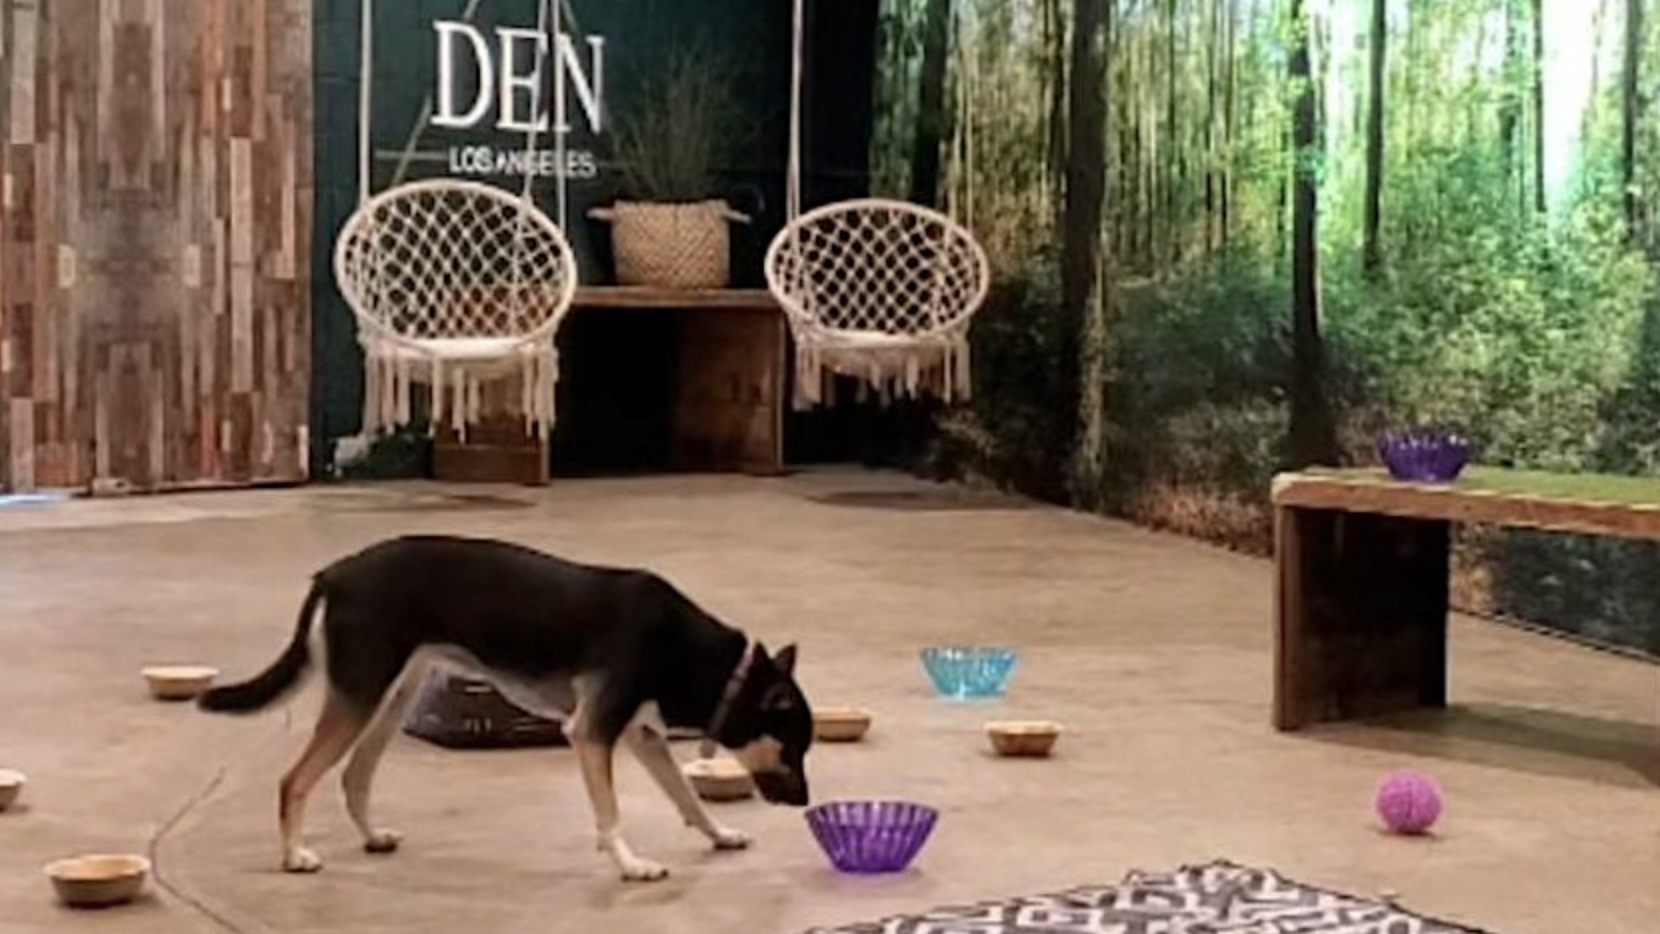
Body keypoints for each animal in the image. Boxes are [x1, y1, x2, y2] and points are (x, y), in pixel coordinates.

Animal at [195, 534, 816, 882]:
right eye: (793, 749)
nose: (806, 802)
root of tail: (335, 572)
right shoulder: (591, 732)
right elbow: (610, 813)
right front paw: (630, 864)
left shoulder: (639, 734)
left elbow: (686, 796)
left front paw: (720, 834)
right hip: (361, 696)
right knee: (295, 780)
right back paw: (294, 855)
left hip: (393, 697)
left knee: (353, 777)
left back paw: (371, 837)